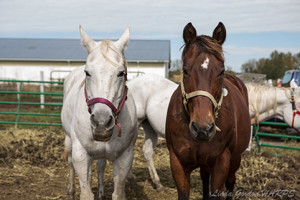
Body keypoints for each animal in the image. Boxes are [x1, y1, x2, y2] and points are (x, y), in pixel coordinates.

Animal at [61, 26, 138, 200]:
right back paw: (70, 191)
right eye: (87, 72)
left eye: (121, 73)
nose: (101, 123)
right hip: (69, 142)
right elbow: (86, 192)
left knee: (100, 165)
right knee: (70, 164)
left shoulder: (125, 157)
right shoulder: (81, 155)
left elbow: (118, 193)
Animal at [165, 22, 252, 200]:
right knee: (205, 177)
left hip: (235, 159)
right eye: (185, 70)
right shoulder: (177, 162)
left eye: (221, 71)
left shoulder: (222, 163)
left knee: (230, 182)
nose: (203, 128)